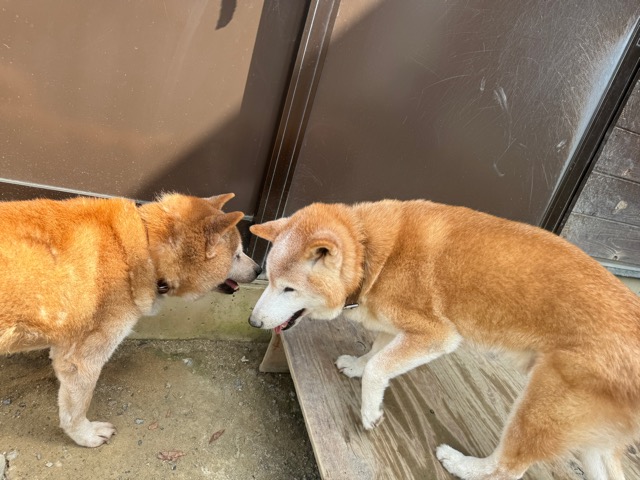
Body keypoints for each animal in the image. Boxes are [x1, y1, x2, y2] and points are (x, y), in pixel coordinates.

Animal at [0, 192, 261, 447]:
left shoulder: (65, 347)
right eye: (237, 255)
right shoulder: (83, 359)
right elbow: (77, 408)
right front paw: (85, 435)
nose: (259, 269)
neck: (146, 248)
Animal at [248, 199, 640, 480]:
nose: (253, 321)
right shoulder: (394, 324)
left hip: (539, 406)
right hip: (592, 443)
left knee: (508, 468)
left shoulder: (437, 335)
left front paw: (370, 411)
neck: (372, 254)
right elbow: (376, 352)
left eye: (288, 288)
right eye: (268, 279)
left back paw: (462, 465)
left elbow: (379, 366)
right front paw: (356, 366)